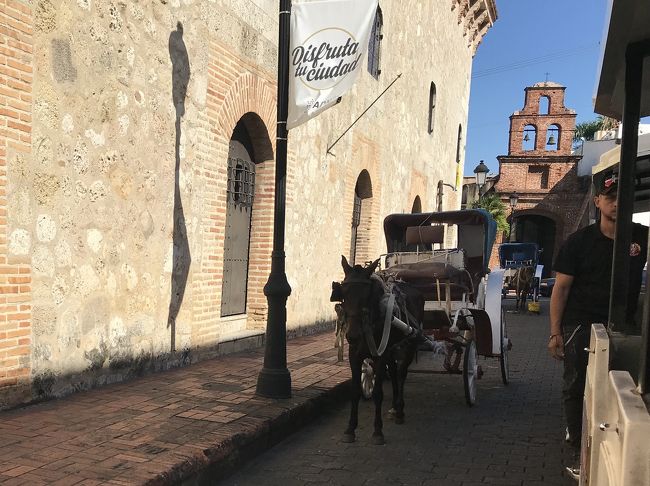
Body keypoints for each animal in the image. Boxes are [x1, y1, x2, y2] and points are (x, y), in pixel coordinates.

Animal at [332, 256, 422, 446]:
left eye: (367, 295)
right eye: (344, 293)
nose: (352, 334)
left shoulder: (380, 356)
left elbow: (378, 393)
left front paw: (378, 431)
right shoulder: (354, 355)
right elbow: (355, 391)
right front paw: (350, 429)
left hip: (410, 342)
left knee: (401, 374)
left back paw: (400, 410)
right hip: (391, 348)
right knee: (394, 372)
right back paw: (394, 407)